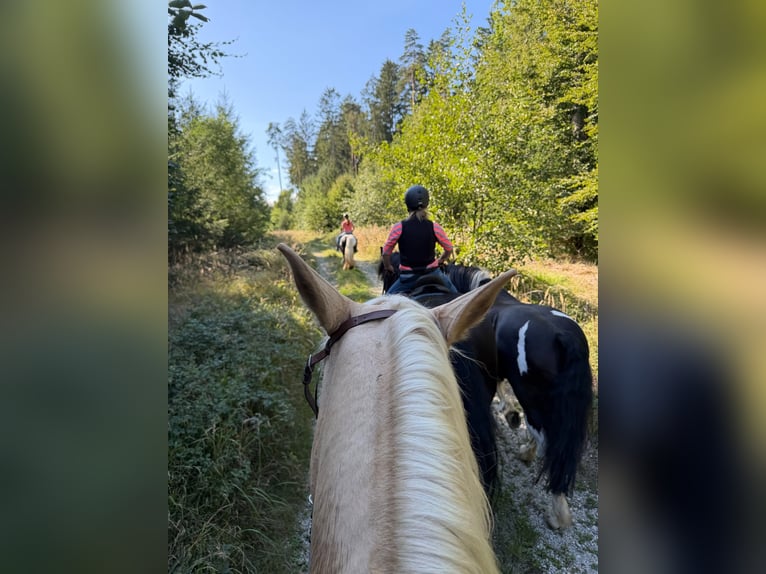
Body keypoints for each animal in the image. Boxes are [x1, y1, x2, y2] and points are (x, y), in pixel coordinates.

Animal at [445, 264, 594, 530]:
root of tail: (564, 338)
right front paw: (510, 413)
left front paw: (508, 412)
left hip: (532, 397)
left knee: (546, 441)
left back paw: (556, 514)